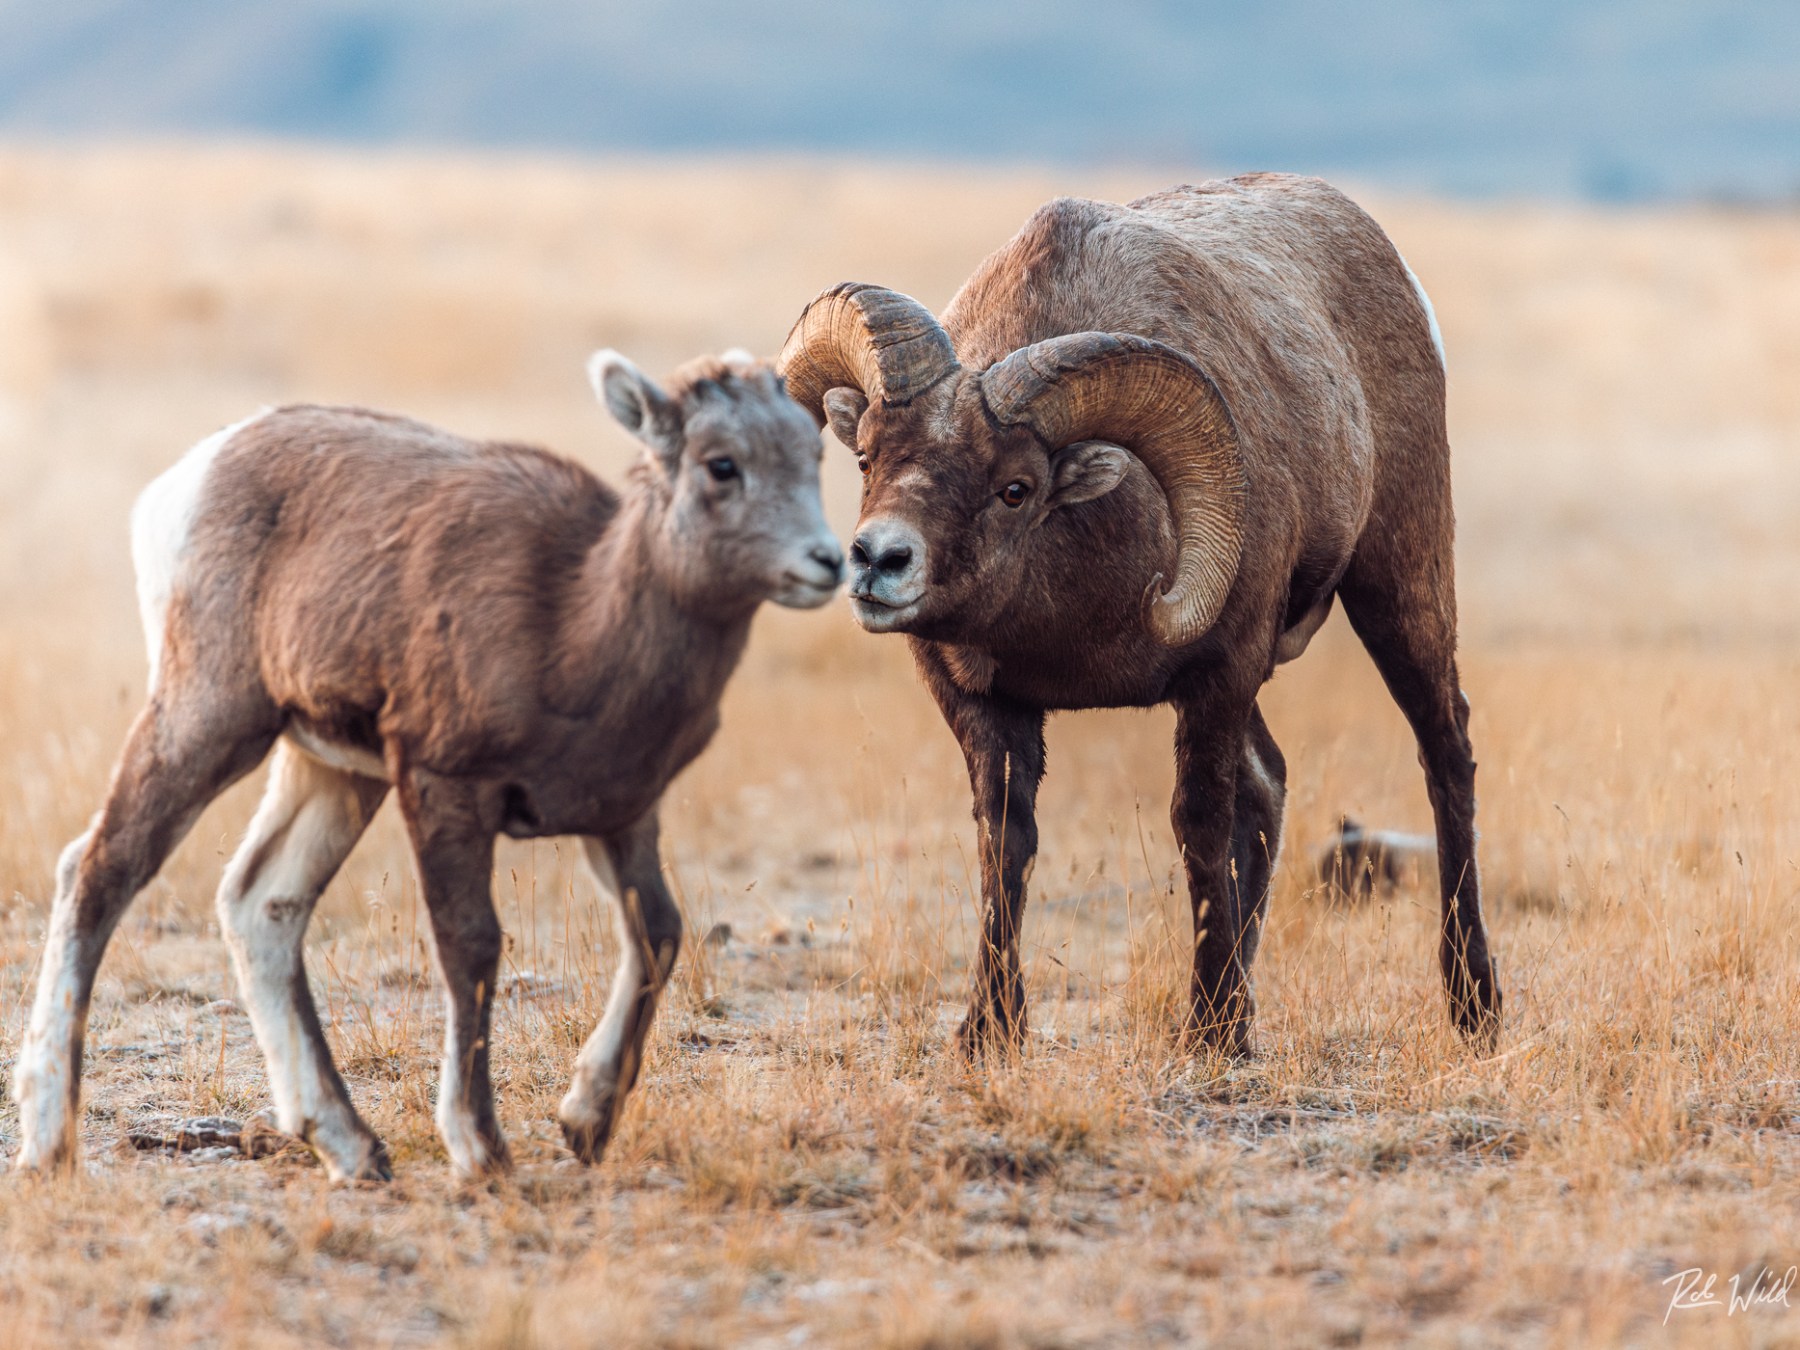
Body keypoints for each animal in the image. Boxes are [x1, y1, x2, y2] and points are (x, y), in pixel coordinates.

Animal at [11, 351, 843, 1181]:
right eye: (721, 464)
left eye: (814, 454)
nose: (830, 561)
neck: (573, 621)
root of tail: (190, 477)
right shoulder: (446, 789)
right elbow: (472, 946)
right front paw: (481, 1151)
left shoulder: (623, 816)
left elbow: (659, 934)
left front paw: (587, 1122)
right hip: (210, 720)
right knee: (100, 869)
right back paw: (48, 1145)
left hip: (333, 772)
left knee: (261, 902)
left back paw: (352, 1148)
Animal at [778, 173, 1500, 1057]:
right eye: (866, 456)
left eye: (1016, 488)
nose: (878, 560)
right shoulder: (985, 704)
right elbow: (1005, 842)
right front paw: (990, 1030)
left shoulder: (1218, 677)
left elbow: (1199, 826)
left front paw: (1211, 1033)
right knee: (1270, 787)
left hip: (1400, 587)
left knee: (1445, 756)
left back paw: (1472, 1007)